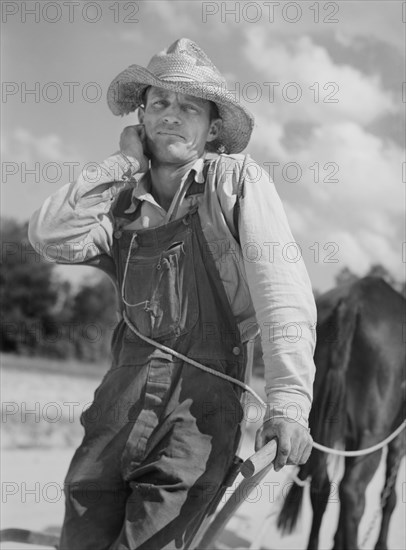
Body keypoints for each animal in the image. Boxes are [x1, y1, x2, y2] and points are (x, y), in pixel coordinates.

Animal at [278, 280, 404, 550]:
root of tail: (353, 300)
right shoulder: (396, 438)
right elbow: (389, 497)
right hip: (372, 435)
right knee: (353, 492)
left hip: (314, 425)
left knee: (321, 487)